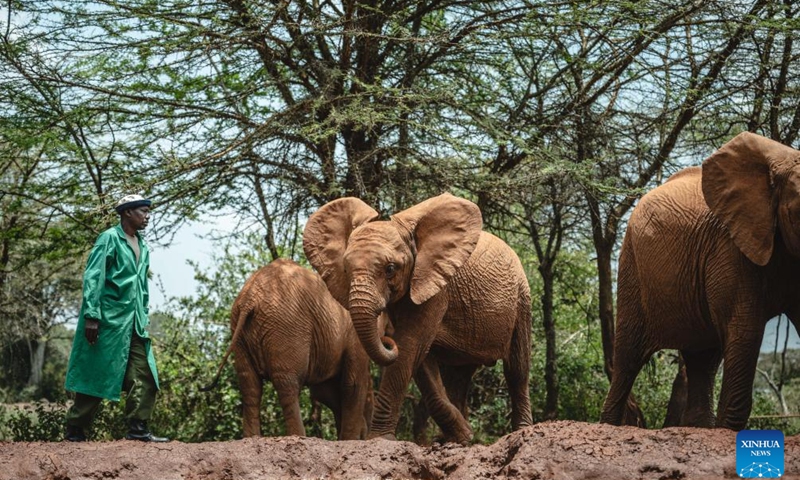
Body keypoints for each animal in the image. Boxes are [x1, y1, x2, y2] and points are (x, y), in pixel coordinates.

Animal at [203, 258, 384, 438]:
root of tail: (250, 299)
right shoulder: (352, 333)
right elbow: (352, 384)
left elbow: (325, 391)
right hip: (286, 326)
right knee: (287, 383)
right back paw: (299, 436)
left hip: (241, 331)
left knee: (249, 384)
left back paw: (252, 438)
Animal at [304, 191, 536, 442]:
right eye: (345, 270)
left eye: (390, 269)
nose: (387, 340)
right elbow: (421, 358)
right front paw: (464, 435)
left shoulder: (435, 286)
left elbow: (410, 345)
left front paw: (380, 439)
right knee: (459, 377)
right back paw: (458, 439)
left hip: (521, 299)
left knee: (517, 369)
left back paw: (522, 431)